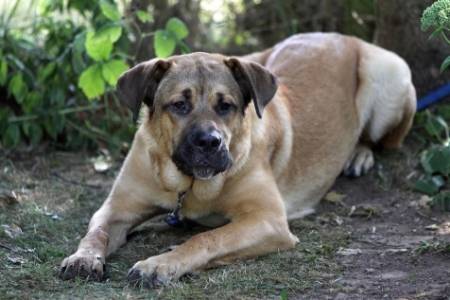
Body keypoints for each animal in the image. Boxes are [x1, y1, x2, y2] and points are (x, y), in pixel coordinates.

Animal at [59, 32, 414, 286]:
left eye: (226, 105)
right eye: (179, 105)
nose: (209, 142)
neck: (189, 185)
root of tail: (341, 35)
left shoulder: (268, 220)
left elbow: (207, 238)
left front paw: (160, 263)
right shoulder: (117, 208)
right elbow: (96, 233)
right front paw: (82, 258)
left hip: (391, 75)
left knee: (383, 139)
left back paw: (359, 155)